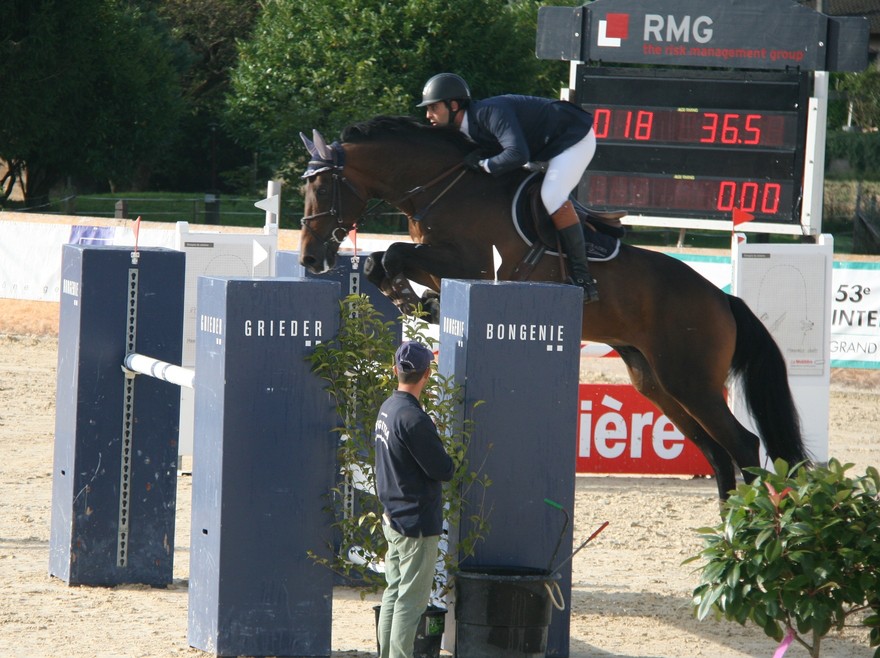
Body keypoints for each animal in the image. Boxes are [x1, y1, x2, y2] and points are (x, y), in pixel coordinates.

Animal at [297, 115, 809, 500]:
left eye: (322, 189)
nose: (309, 258)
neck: (444, 186)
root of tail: (722, 298)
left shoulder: (474, 264)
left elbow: (396, 254)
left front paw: (418, 300)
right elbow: (381, 260)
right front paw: (418, 301)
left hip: (692, 380)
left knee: (743, 445)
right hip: (657, 381)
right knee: (717, 453)